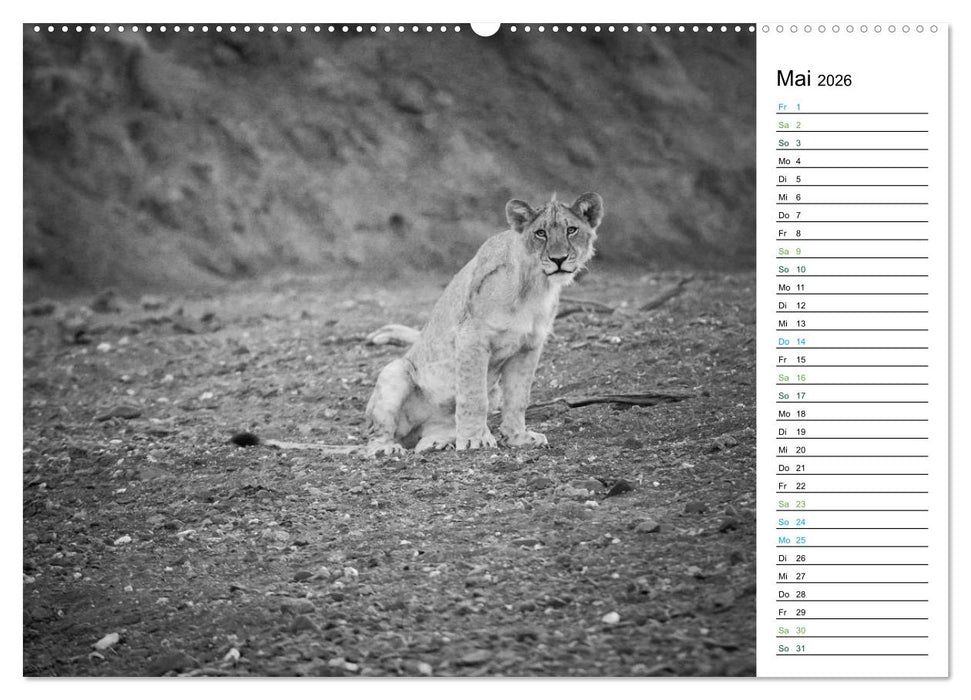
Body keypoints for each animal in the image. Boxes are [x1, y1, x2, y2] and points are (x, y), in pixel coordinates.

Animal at [363, 192, 604, 457]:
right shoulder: (472, 337)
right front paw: (473, 440)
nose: (558, 259)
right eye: (541, 233)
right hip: (394, 372)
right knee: (377, 437)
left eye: (572, 230)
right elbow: (473, 396)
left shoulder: (529, 347)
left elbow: (518, 398)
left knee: (423, 440)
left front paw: (518, 437)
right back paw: (387, 448)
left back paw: (437, 442)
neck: (535, 286)